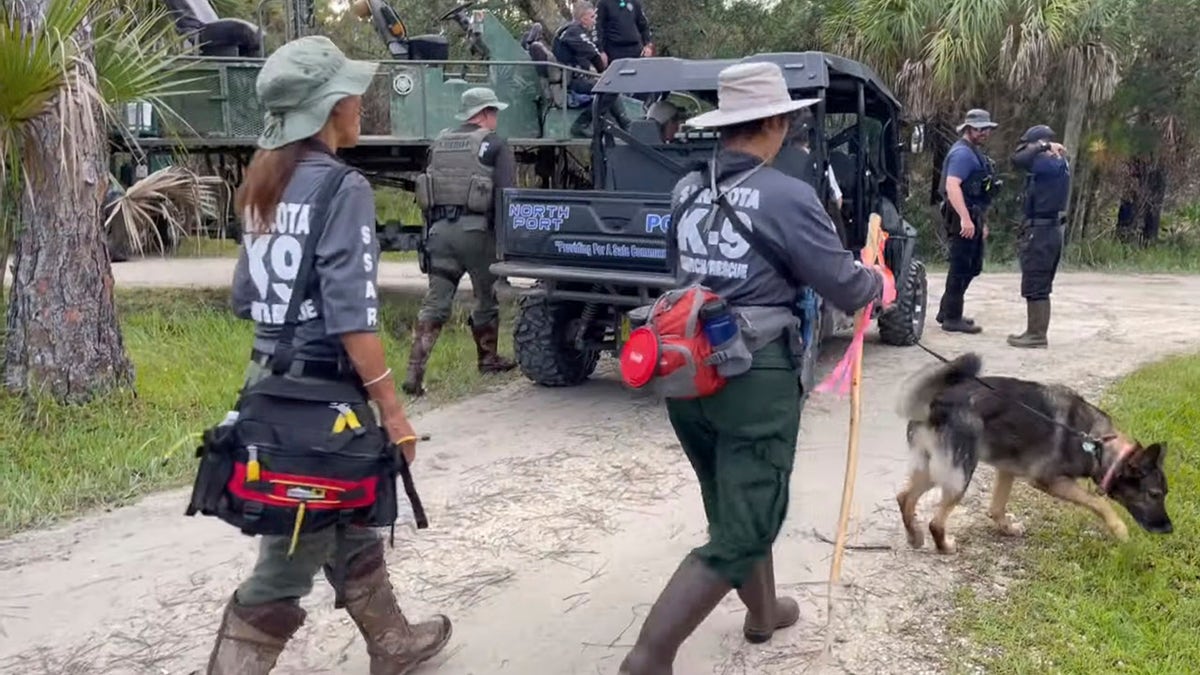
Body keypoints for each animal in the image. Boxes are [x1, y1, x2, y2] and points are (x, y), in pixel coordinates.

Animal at [897, 353, 1166, 552]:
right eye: (1154, 494)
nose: (1168, 529)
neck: (1097, 444)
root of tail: (938, 401)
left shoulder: (1006, 471)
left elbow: (997, 508)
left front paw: (1007, 528)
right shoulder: (1051, 482)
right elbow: (1098, 502)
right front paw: (1119, 528)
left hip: (934, 467)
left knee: (904, 497)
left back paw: (914, 536)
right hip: (959, 473)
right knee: (935, 522)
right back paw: (943, 546)